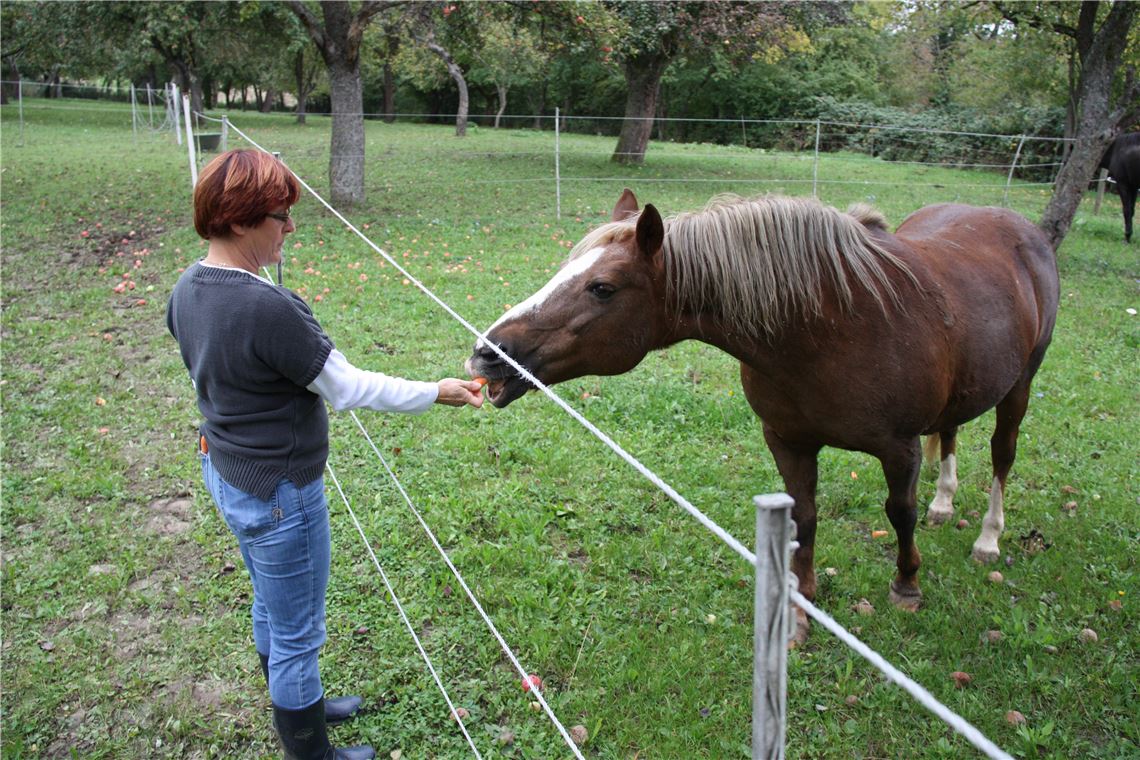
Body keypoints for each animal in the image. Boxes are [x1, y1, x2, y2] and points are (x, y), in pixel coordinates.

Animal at [466, 190, 1059, 643]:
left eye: (602, 288)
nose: (488, 353)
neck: (833, 328)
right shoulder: (788, 441)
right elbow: (804, 520)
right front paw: (799, 614)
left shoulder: (900, 447)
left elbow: (899, 513)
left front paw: (907, 586)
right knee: (952, 432)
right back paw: (944, 502)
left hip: (1020, 387)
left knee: (1002, 455)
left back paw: (988, 538)